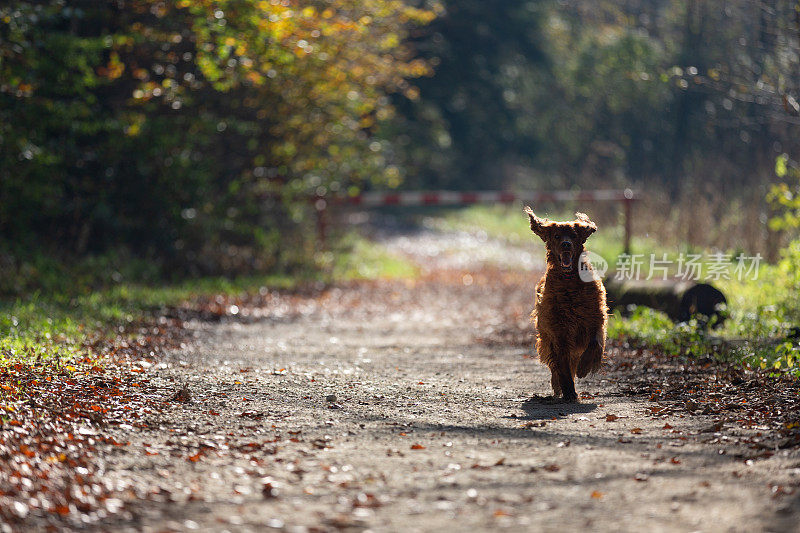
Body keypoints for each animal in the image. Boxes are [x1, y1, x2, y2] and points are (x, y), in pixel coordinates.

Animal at [524, 206, 608, 402]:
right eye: (556, 236)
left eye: (573, 235)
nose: (566, 245)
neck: (570, 283)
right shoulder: (558, 330)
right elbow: (562, 365)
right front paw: (568, 390)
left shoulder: (595, 320)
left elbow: (594, 344)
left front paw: (584, 368)